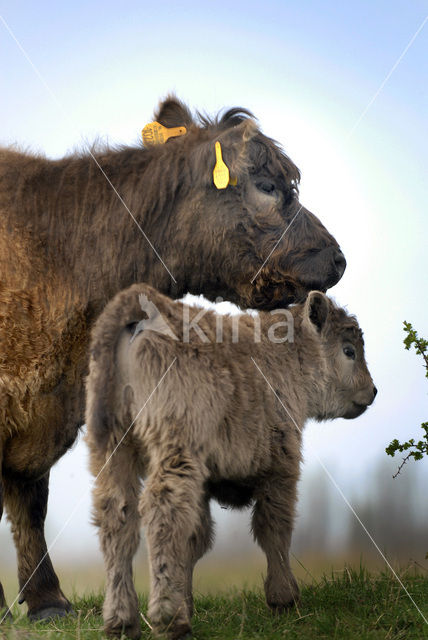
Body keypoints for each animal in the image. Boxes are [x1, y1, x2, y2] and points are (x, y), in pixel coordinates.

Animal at [86, 284, 374, 640]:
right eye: (349, 350)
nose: (372, 391)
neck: (287, 356)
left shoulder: (204, 482)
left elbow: (195, 539)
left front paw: (189, 602)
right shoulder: (281, 463)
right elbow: (274, 527)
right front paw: (284, 598)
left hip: (112, 449)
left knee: (116, 517)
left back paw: (122, 621)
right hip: (174, 450)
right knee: (161, 512)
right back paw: (170, 619)